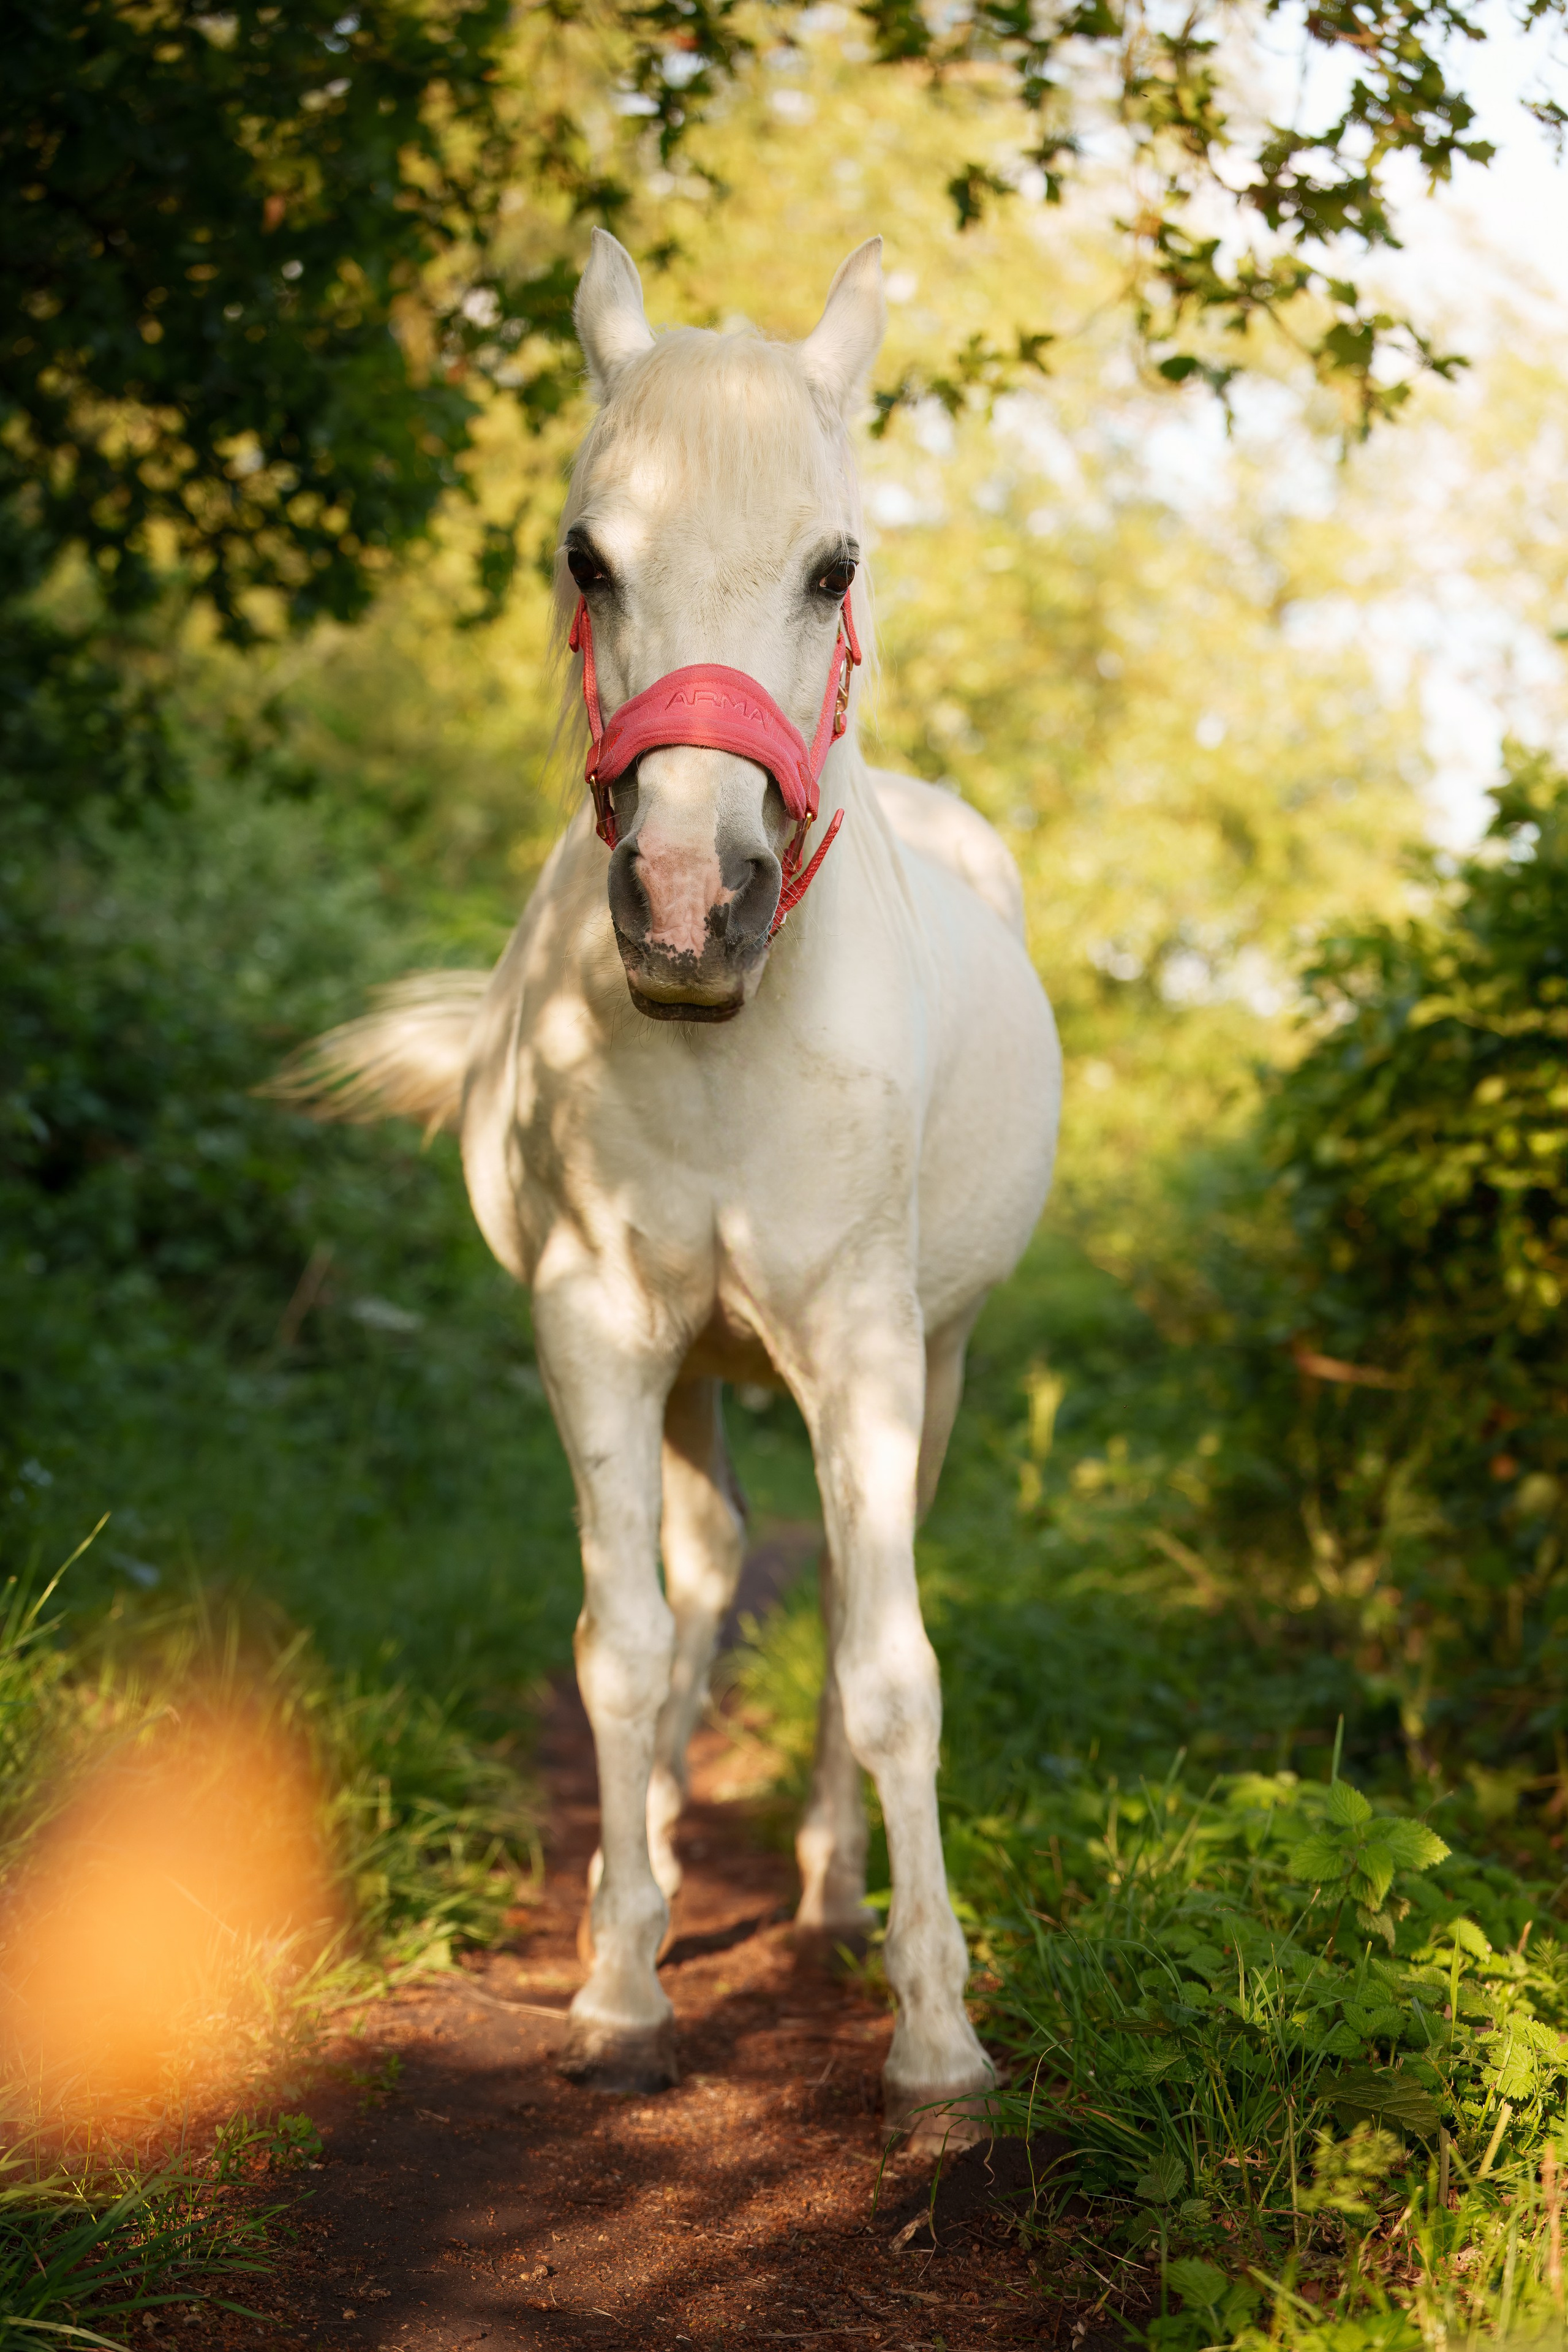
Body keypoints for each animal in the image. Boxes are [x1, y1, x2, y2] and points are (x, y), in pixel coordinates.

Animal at [279, 229, 1061, 2149]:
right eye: (587, 555)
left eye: (832, 563)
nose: (694, 907)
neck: (724, 1044)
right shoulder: (600, 1331)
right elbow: (625, 1649)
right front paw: (620, 1991)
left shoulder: (863, 1352)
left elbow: (888, 1666)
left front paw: (938, 2044)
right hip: (703, 1373)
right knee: (698, 1594)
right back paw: (633, 1890)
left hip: (927, 1366)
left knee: (840, 1605)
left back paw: (835, 1895)